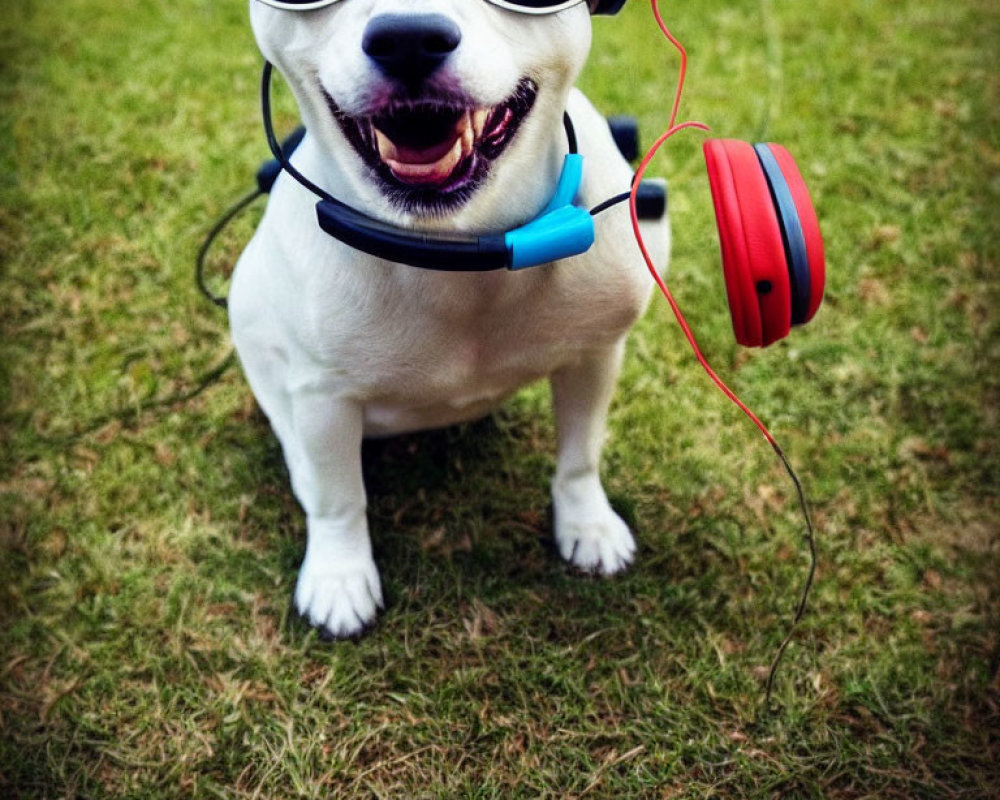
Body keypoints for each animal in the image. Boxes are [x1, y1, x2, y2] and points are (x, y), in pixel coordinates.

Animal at [229, 0, 668, 636]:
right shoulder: (322, 397)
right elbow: (340, 500)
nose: (409, 39)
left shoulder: (594, 355)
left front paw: (587, 524)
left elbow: (579, 456)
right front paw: (340, 574)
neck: (455, 245)